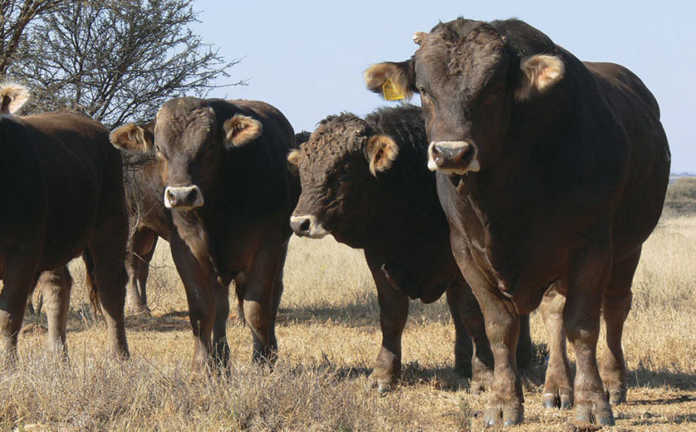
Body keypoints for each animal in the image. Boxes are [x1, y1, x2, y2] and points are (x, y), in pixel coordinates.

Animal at [0, 83, 130, 362]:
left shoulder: (22, 255)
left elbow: (9, 316)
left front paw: (8, 364)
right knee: (58, 286)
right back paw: (58, 355)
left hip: (111, 224)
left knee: (111, 288)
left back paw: (120, 355)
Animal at [109, 98, 298, 370]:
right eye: (159, 147)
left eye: (208, 145)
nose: (181, 195)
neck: (218, 212)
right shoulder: (186, 249)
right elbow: (201, 309)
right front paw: (203, 364)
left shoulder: (267, 248)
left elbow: (257, 307)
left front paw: (262, 360)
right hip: (138, 229)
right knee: (139, 268)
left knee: (270, 295)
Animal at [288, 104, 533, 393]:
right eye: (303, 170)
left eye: (343, 169)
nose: (300, 223)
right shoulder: (380, 261)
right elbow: (392, 316)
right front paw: (384, 375)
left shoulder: (465, 261)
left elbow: (474, 315)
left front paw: (484, 375)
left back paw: (522, 358)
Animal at [365, 18, 670, 426]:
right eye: (424, 90)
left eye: (493, 88)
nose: (451, 153)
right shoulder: (466, 252)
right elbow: (499, 327)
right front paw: (503, 402)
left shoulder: (592, 247)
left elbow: (584, 325)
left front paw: (592, 402)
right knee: (554, 312)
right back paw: (557, 388)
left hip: (629, 247)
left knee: (616, 308)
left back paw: (612, 383)